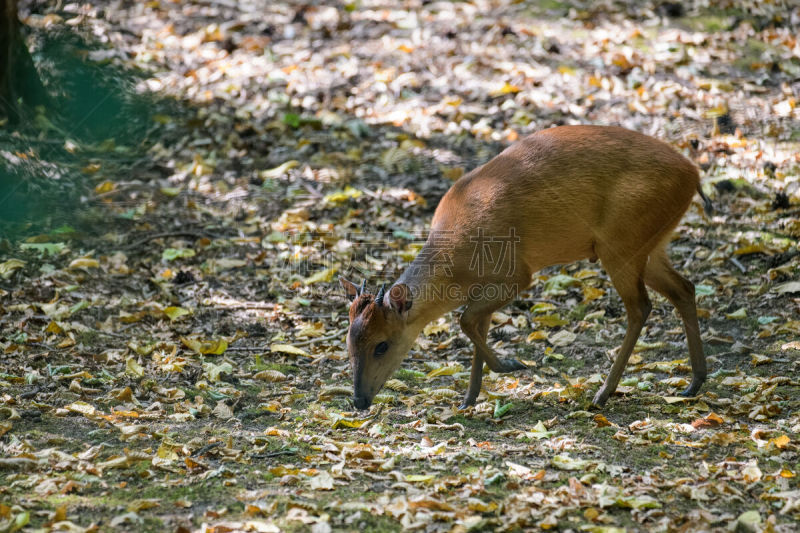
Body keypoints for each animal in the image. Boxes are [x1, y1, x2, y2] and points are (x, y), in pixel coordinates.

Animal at [340, 123, 708, 408]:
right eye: (348, 342)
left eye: (382, 345)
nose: (359, 401)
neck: (457, 267)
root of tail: (694, 175)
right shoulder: (485, 288)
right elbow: (476, 326)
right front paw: (469, 398)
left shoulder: (517, 274)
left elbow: (466, 321)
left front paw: (510, 365)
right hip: (650, 243)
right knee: (684, 289)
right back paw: (694, 382)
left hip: (621, 242)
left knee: (641, 307)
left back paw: (603, 393)